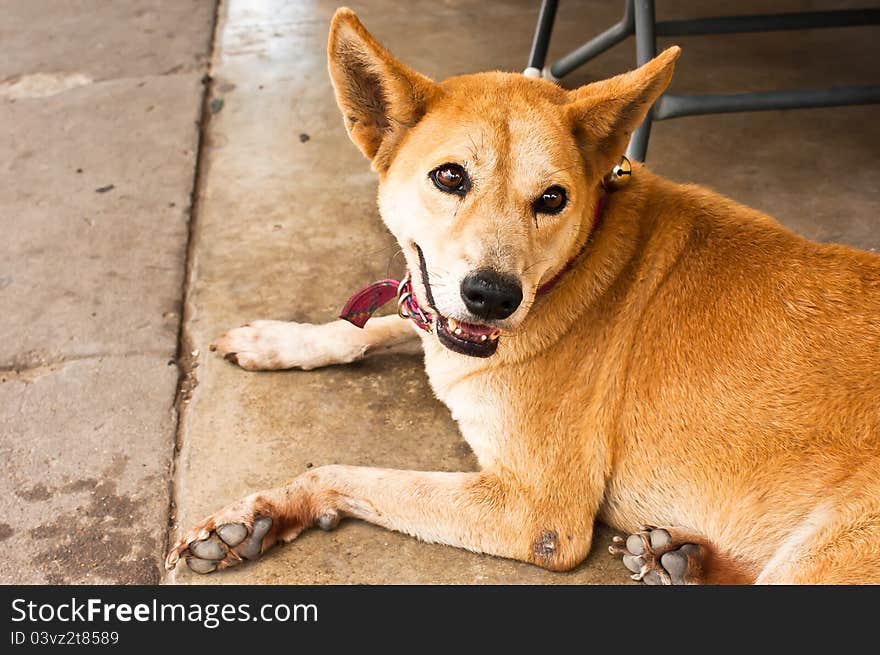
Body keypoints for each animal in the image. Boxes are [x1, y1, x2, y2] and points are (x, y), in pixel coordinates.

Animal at [165, 7, 880, 584]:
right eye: (449, 177)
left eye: (553, 198)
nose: (492, 297)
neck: (583, 257)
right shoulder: (437, 309)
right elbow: (380, 320)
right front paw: (276, 340)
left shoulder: (535, 512)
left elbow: (339, 472)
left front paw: (262, 511)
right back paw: (677, 558)